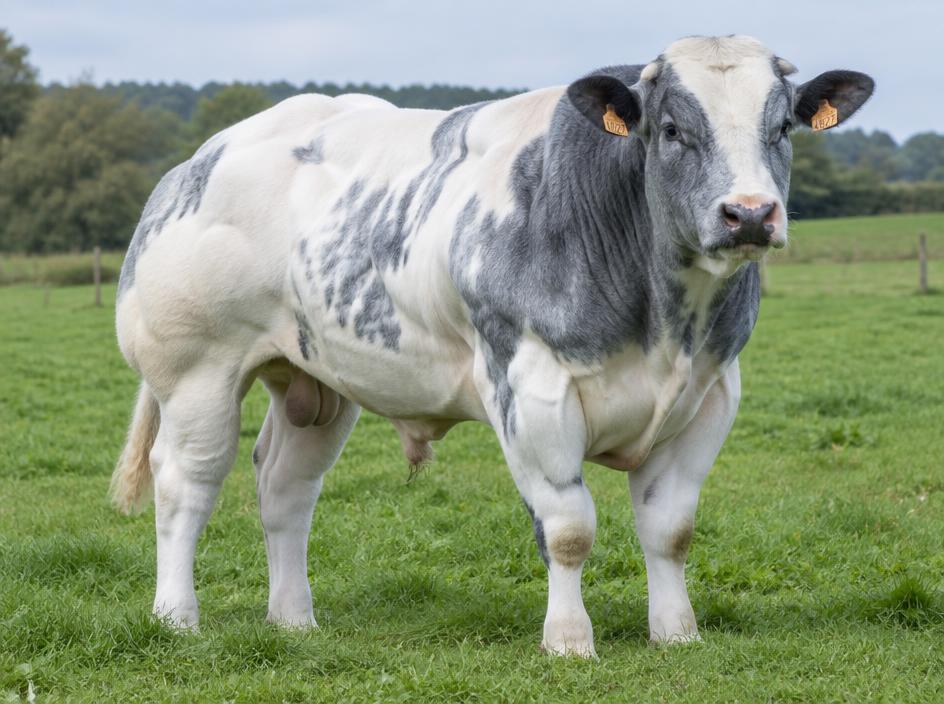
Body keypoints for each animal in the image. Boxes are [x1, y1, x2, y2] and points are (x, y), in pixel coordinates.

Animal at [111, 35, 873, 656]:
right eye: (671, 128)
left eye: (782, 126)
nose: (749, 213)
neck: (663, 322)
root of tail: (198, 162)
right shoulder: (530, 388)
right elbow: (568, 528)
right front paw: (568, 641)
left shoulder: (711, 393)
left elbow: (670, 529)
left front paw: (677, 633)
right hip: (196, 371)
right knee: (185, 483)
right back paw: (176, 617)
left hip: (317, 384)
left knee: (285, 488)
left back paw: (294, 620)